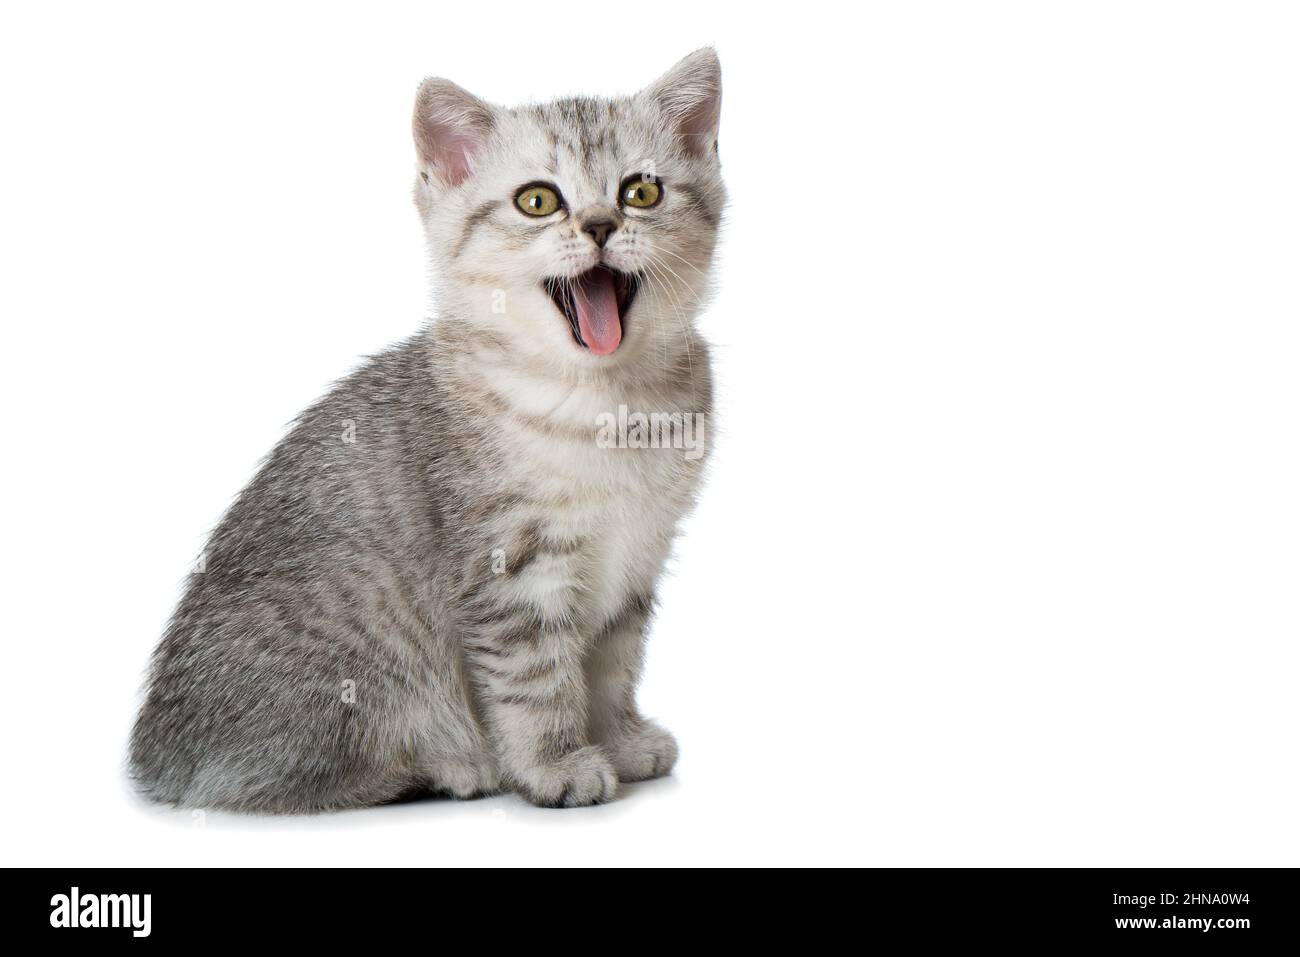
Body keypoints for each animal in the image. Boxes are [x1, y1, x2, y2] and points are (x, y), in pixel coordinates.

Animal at [125, 52, 722, 811]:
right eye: (538, 201)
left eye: (641, 192)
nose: (598, 225)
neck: (609, 403)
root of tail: (155, 757)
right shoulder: (511, 569)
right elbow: (535, 678)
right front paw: (554, 763)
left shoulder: (639, 555)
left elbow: (614, 663)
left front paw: (617, 737)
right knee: (258, 779)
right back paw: (448, 764)